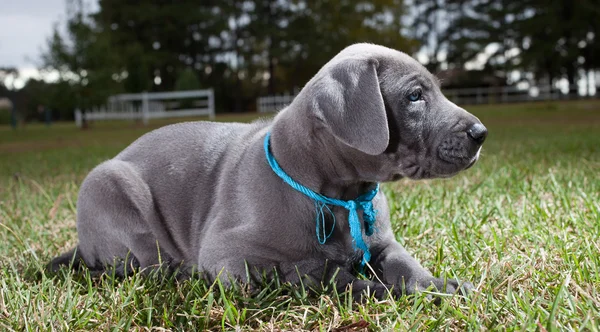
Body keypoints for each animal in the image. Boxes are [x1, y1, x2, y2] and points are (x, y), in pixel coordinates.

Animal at [49, 42, 486, 300]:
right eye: (414, 96)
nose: (481, 133)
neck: (340, 195)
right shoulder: (229, 255)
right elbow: (321, 273)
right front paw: (388, 292)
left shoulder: (383, 242)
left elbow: (405, 264)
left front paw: (438, 286)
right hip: (111, 187)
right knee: (146, 266)